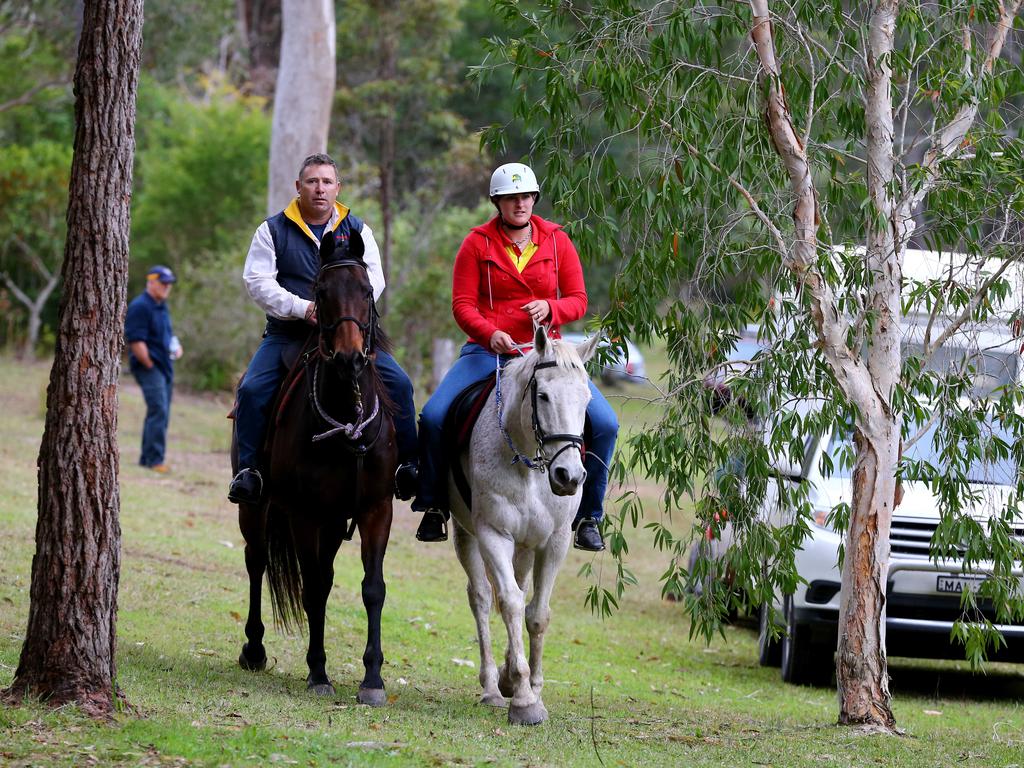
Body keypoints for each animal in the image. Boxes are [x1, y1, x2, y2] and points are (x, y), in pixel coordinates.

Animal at [232, 231, 395, 708]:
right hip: (257, 508)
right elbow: (313, 589)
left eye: (366, 289)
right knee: (257, 561)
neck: (345, 418)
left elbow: (371, 588)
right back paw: (254, 648)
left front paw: (372, 679)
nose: (349, 359)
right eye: (320, 293)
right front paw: (318, 671)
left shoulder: (375, 510)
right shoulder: (304, 514)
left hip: (334, 522)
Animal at [448, 325, 598, 729]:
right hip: (465, 534)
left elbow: (537, 614)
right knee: (482, 598)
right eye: (542, 395)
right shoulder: (493, 534)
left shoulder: (553, 542)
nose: (569, 477)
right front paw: (524, 699)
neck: (530, 464)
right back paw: (491, 686)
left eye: (587, 399)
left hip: (527, 546)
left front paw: (531, 686)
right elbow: (511, 603)